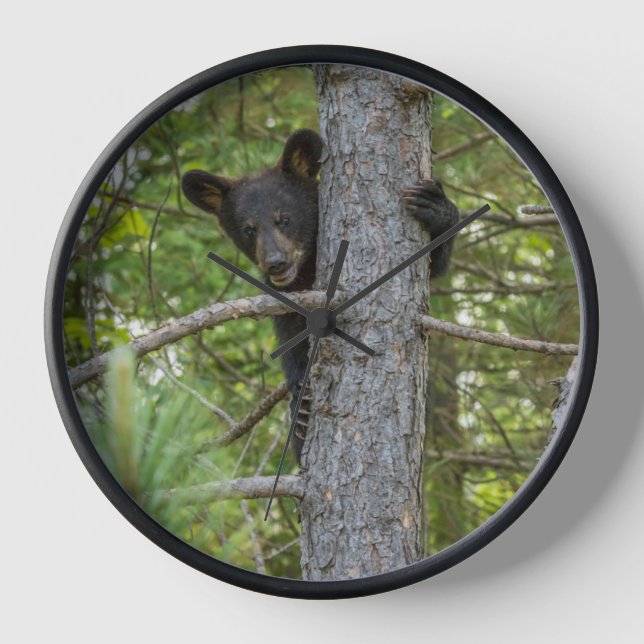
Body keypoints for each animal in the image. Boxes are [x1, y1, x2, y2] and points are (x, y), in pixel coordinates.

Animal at [181, 129, 460, 461]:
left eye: (284, 218)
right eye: (249, 229)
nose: (276, 262)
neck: (305, 269)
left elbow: (433, 265)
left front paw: (435, 206)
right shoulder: (286, 297)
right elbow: (290, 339)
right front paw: (299, 403)